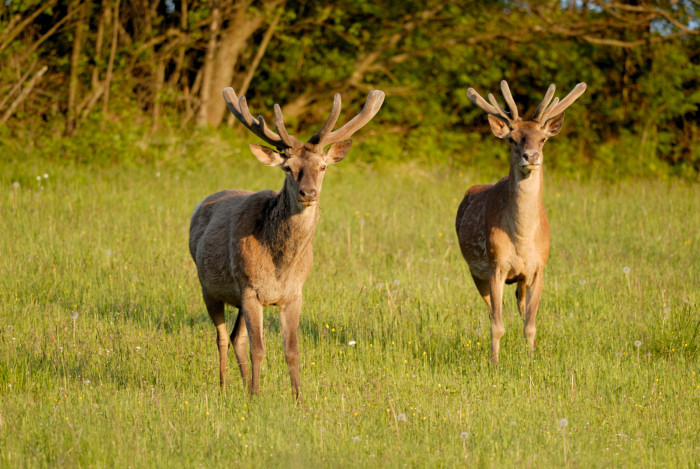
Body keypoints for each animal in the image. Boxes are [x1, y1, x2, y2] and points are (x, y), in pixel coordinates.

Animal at [187, 85, 382, 398]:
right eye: (288, 167)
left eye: (323, 166)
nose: (308, 192)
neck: (280, 264)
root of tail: (202, 203)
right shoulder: (250, 289)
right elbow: (258, 349)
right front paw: (256, 397)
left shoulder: (294, 294)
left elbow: (292, 350)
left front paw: (297, 398)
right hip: (209, 287)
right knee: (221, 336)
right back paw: (224, 387)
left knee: (235, 337)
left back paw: (243, 385)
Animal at [456, 80, 588, 364]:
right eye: (512, 139)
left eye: (543, 138)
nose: (531, 156)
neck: (521, 237)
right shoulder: (496, 267)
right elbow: (496, 324)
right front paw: (494, 363)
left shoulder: (539, 269)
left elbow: (530, 324)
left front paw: (531, 360)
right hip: (476, 272)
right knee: (492, 310)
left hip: (521, 279)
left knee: (520, 304)